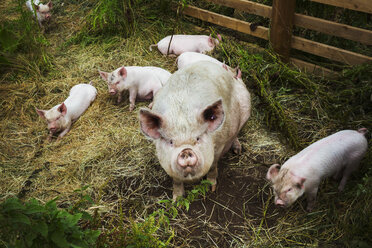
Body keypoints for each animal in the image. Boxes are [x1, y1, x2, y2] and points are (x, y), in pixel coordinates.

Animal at [138, 61, 251, 201]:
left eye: (198, 138)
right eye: (171, 142)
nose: (186, 151)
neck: (182, 116)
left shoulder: (219, 144)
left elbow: (213, 165)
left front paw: (211, 188)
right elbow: (176, 179)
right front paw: (177, 200)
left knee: (236, 134)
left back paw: (237, 150)